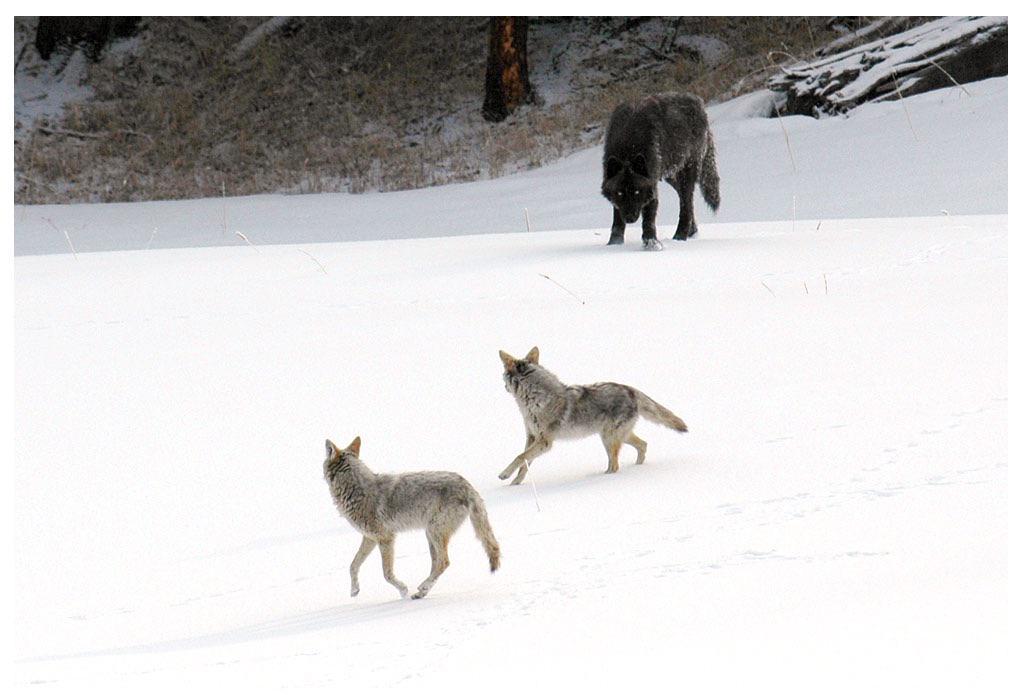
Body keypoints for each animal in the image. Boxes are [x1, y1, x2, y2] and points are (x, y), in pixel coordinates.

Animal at [323, 436, 500, 599]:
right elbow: (353, 565)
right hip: (430, 536)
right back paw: (422, 592)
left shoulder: (386, 539)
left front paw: (403, 590)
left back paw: (423, 587)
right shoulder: (370, 538)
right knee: (437, 564)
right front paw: (354, 590)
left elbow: (387, 574)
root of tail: (468, 486)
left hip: (434, 532)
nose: (325, 441)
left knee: (444, 562)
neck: (356, 490)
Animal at [498, 347, 688, 484]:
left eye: (503, 377)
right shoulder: (531, 437)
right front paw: (515, 484)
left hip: (609, 439)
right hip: (616, 437)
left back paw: (603, 478)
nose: (504, 387)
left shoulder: (545, 442)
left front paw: (504, 475)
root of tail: (630, 389)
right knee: (643, 445)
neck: (533, 399)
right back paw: (636, 468)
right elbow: (524, 464)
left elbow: (520, 457)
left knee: (616, 465)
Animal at [601, 92, 720, 251]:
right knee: (684, 198)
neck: (629, 147)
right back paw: (692, 232)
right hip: (671, 176)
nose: (630, 218)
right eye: (620, 193)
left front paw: (651, 245)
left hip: (686, 173)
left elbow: (648, 220)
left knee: (686, 204)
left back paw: (680, 237)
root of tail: (699, 102)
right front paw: (613, 244)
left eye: (637, 192)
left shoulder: (651, 186)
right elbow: (617, 221)